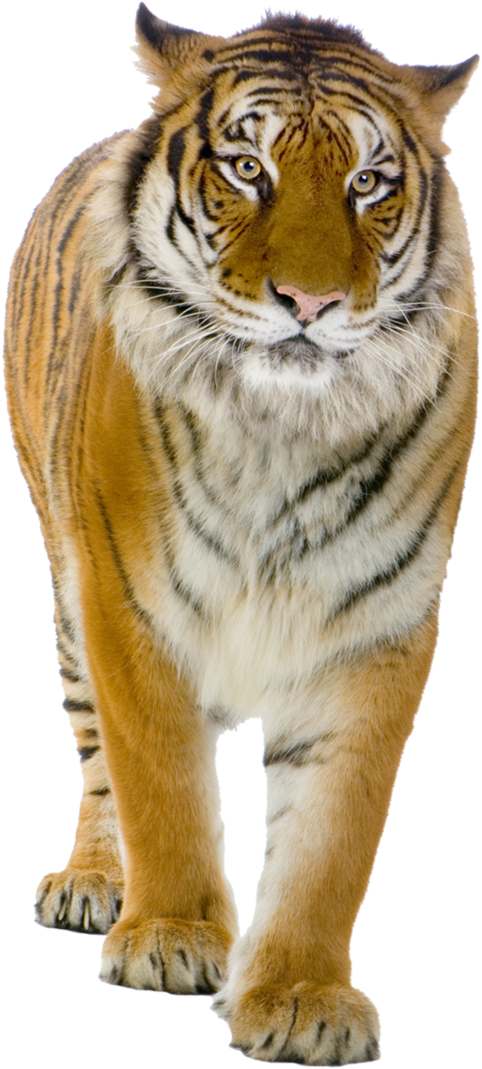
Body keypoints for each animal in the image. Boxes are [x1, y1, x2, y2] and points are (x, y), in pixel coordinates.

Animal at [2, 3, 479, 1064]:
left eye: (368, 182)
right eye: (248, 168)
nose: (309, 304)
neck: (279, 429)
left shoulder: (375, 627)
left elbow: (332, 838)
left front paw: (302, 995)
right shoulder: (130, 603)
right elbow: (160, 785)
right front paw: (172, 937)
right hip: (65, 589)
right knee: (97, 762)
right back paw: (94, 882)